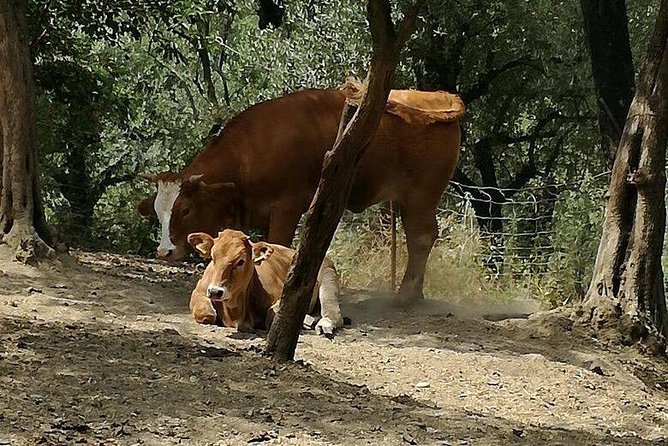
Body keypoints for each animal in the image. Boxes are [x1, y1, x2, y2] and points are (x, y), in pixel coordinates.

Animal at [140, 87, 464, 304]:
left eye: (185, 209)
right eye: (158, 212)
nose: (164, 251)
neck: (248, 154)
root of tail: (440, 98)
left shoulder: (287, 207)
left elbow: (276, 244)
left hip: (420, 196)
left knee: (421, 237)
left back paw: (406, 295)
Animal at [189, 228, 342, 336]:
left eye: (241, 261)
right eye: (213, 257)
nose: (215, 291)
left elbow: (271, 317)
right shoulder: (199, 292)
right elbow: (207, 314)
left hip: (328, 275)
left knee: (333, 311)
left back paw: (323, 324)